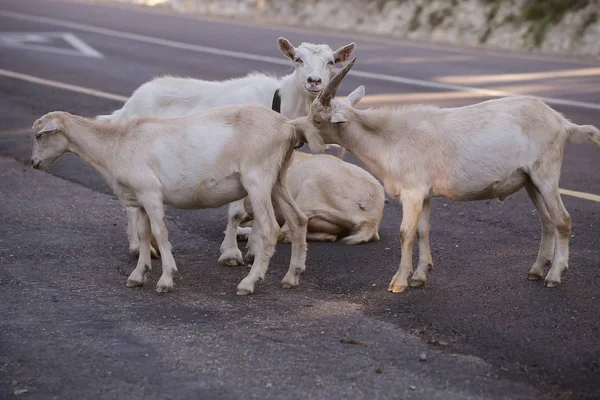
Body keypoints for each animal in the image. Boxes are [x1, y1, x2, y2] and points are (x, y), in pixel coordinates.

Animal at [290, 57, 600, 292]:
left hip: (546, 173)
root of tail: (562, 123)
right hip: (529, 181)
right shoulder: (425, 194)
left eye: (317, 118)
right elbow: (423, 231)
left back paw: (554, 276)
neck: (390, 139)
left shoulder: (412, 191)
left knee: (562, 219)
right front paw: (419, 277)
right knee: (547, 221)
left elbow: (405, 233)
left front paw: (399, 282)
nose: (295, 132)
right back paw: (536, 270)